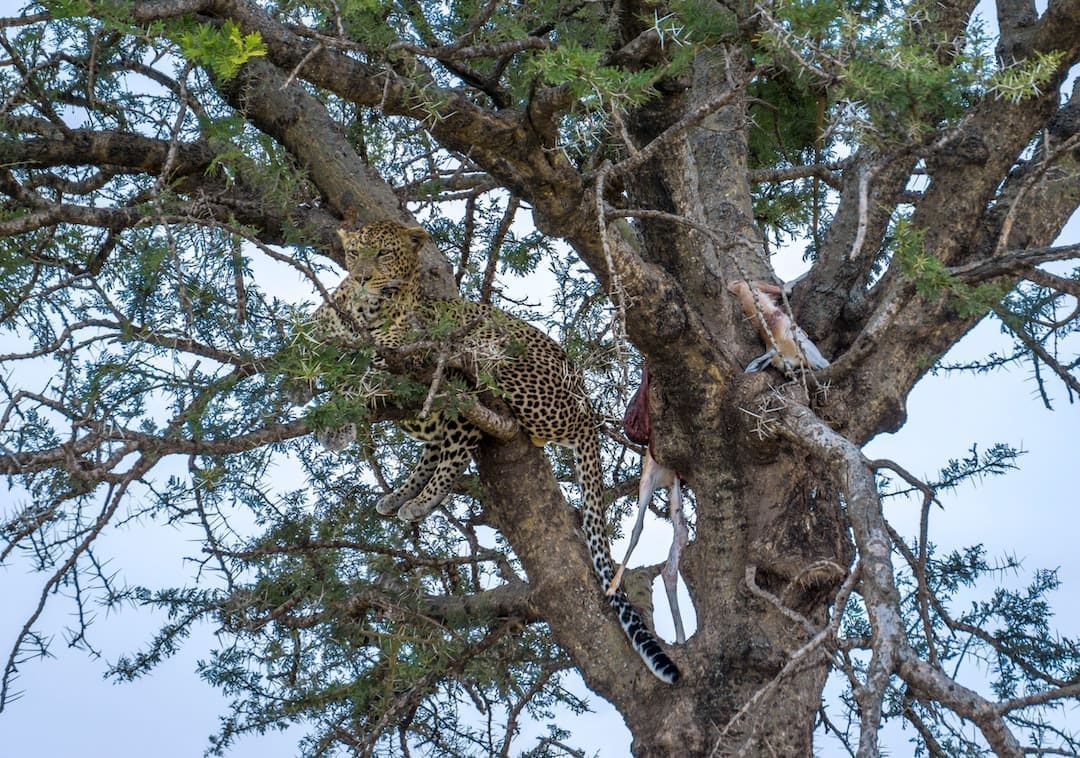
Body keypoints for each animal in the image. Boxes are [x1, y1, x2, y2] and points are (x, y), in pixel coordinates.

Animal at [308, 220, 682, 691]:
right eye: (355, 251)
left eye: (384, 254)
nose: (360, 278)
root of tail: (586, 408)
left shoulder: (400, 347)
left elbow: (363, 375)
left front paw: (337, 421)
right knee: (439, 445)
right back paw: (400, 497)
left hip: (493, 358)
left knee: (460, 444)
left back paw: (419, 499)